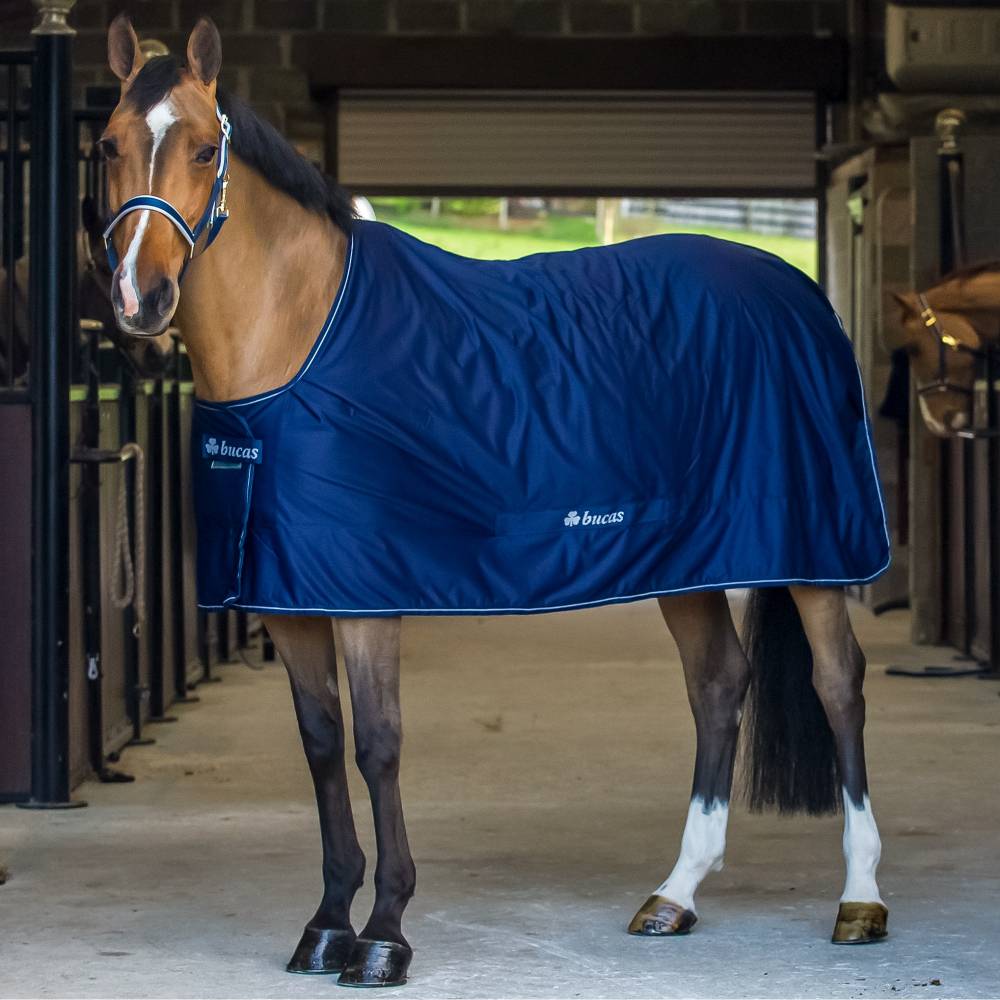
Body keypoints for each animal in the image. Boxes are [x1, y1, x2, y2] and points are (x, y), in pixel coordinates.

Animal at [99, 14, 890, 987]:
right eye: (109, 146)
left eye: (205, 149)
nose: (139, 299)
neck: (302, 335)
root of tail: (802, 291)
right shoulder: (290, 596)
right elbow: (321, 743)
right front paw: (326, 924)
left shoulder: (366, 596)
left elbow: (377, 745)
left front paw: (384, 936)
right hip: (689, 559)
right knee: (718, 685)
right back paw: (676, 895)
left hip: (816, 549)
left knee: (838, 685)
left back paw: (861, 899)